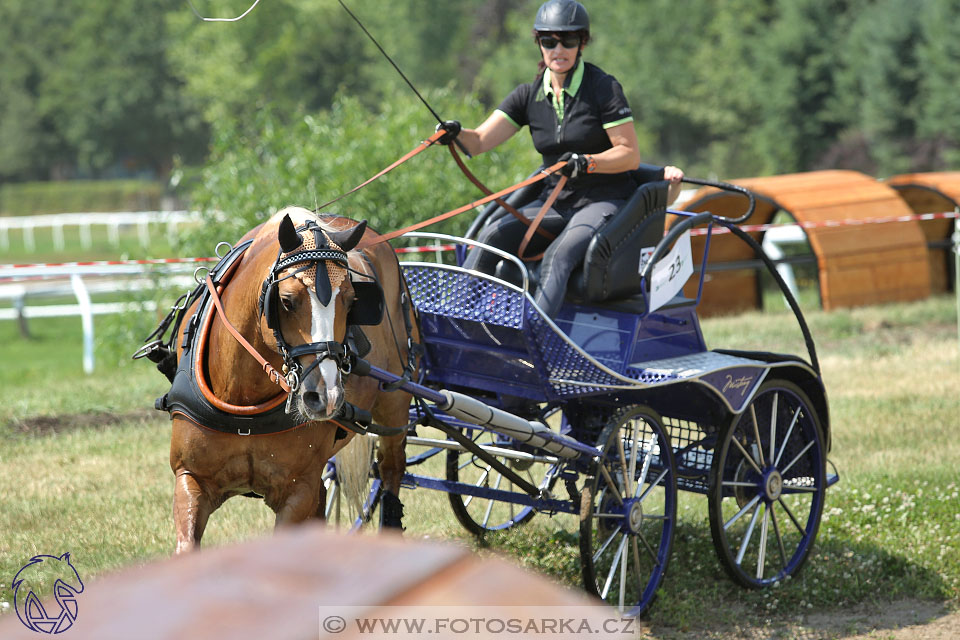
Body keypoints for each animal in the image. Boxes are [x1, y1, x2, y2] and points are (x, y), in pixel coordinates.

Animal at [166, 208, 420, 552]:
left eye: (351, 301)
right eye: (286, 301)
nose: (326, 396)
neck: (245, 404)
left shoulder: (298, 490)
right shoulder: (190, 478)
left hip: (395, 407)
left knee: (392, 468)